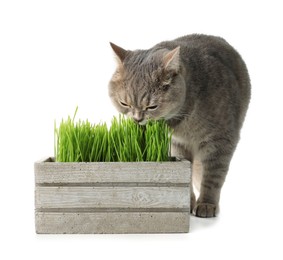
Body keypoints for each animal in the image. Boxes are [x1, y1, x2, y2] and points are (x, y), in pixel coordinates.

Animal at [108, 34, 251, 217]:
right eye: (124, 103)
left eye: (152, 107)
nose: (137, 119)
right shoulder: (178, 144)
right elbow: (187, 176)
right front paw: (188, 202)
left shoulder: (221, 140)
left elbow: (213, 177)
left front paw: (206, 204)